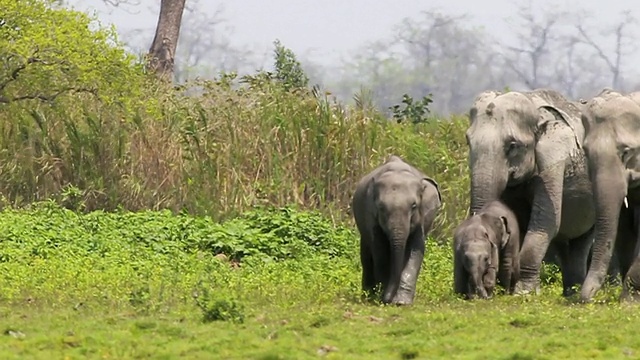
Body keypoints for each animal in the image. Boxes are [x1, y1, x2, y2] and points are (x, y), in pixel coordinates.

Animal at [350, 156, 440, 306]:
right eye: (381, 207)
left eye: (414, 206)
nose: (386, 300)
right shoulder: (371, 217)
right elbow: (380, 250)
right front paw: (382, 297)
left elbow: (416, 250)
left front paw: (402, 302)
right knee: (367, 256)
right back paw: (368, 296)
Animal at [464, 88, 596, 296]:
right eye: (467, 141)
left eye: (512, 146)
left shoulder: (553, 160)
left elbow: (546, 221)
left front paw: (523, 293)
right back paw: (570, 292)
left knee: (582, 240)